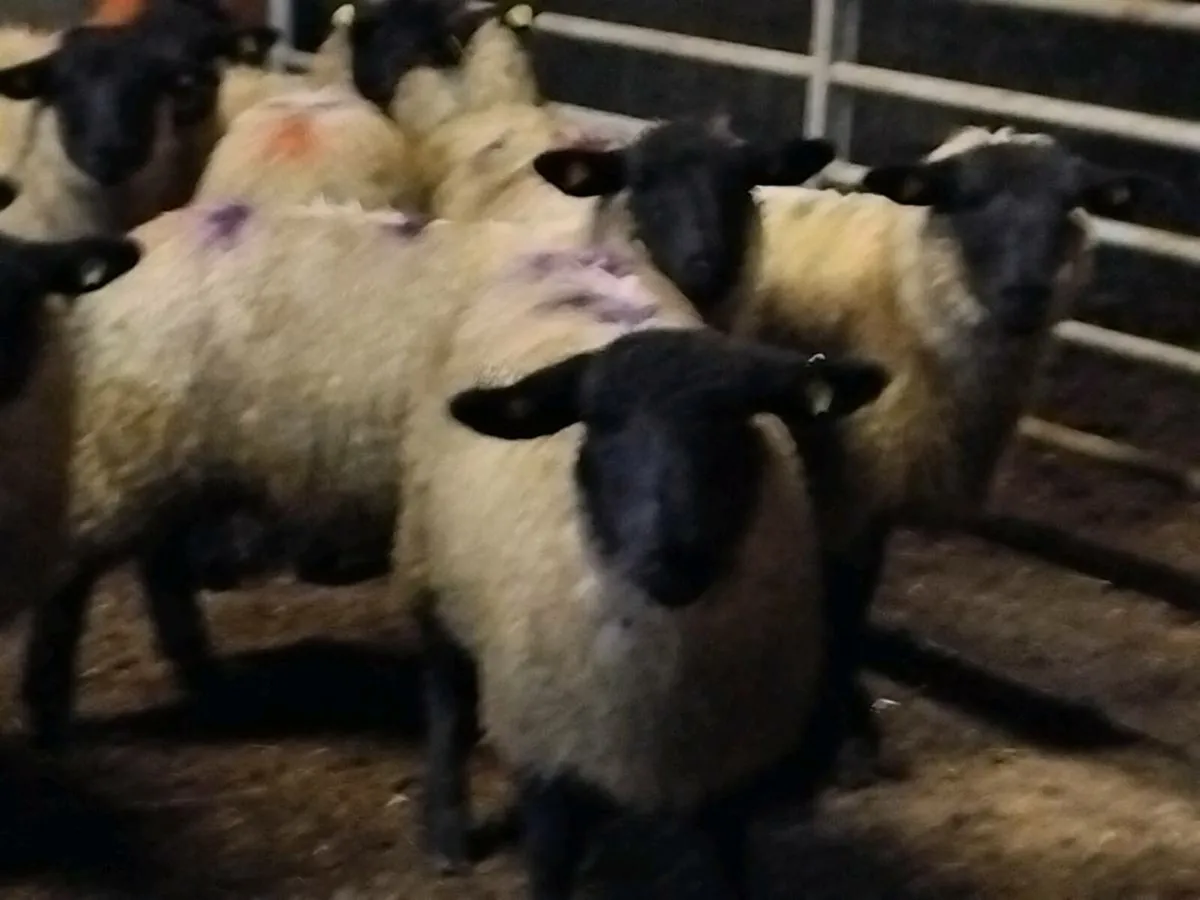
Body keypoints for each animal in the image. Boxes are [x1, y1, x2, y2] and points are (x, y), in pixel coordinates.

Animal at [17, 118, 837, 750]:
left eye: (741, 183)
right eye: (645, 183)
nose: (706, 260)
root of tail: (128, 251)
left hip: (174, 458)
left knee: (158, 568)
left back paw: (206, 679)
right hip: (120, 450)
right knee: (69, 584)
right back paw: (50, 715)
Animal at [395, 319, 888, 893]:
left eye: (732, 421)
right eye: (599, 425)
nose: (674, 558)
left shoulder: (728, 751)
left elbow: (728, 859)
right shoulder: (547, 742)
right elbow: (550, 862)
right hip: (430, 569)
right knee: (447, 703)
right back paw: (447, 835)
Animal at [698, 124, 1167, 788]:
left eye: (1067, 205)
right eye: (965, 199)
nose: (1025, 294)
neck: (897, 299)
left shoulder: (869, 491)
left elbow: (854, 603)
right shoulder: (840, 482)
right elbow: (837, 603)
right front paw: (827, 739)